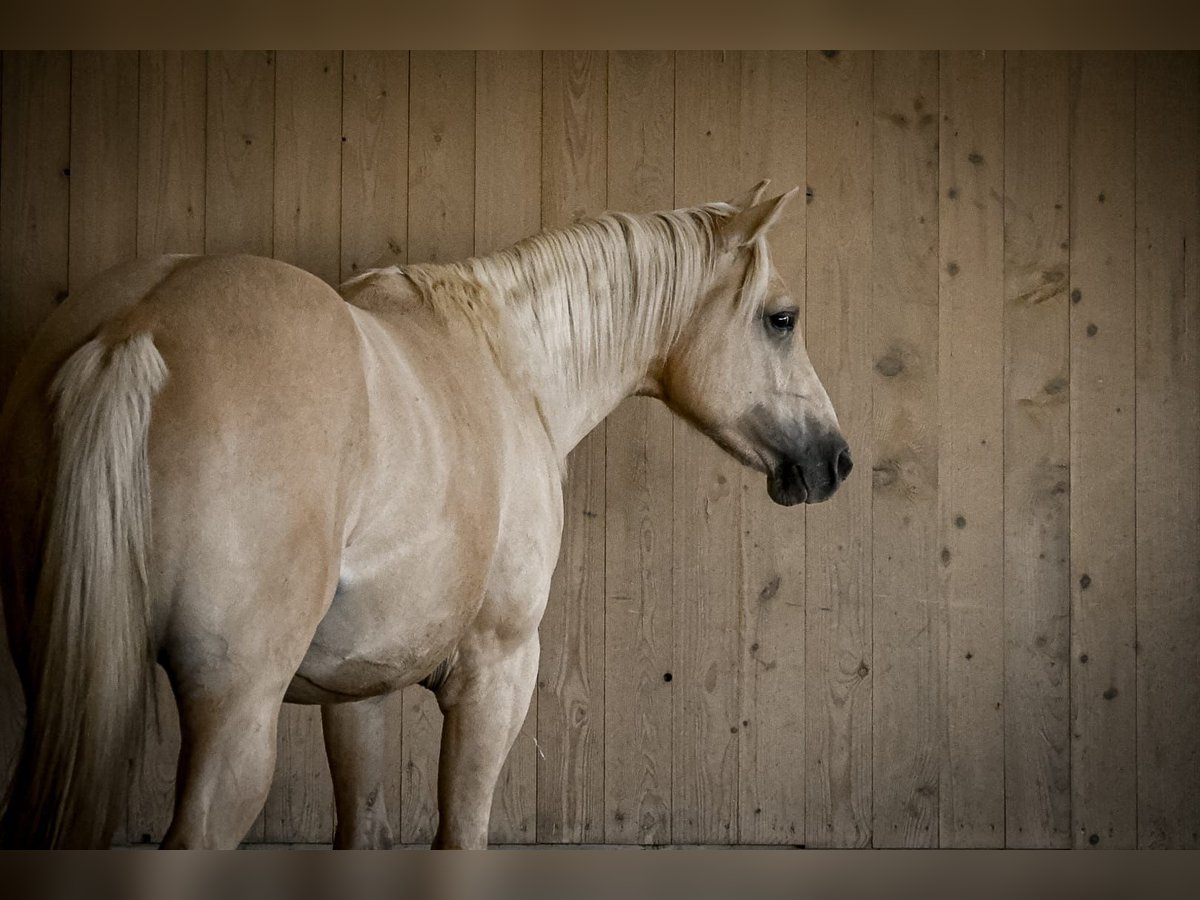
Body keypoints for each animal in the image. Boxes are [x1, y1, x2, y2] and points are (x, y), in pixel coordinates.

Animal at [0, 180, 854, 849]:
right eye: (782, 318)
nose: (835, 460)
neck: (512, 369)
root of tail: (134, 327)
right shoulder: (496, 674)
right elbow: (460, 837)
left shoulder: (356, 691)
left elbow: (364, 831)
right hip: (233, 715)